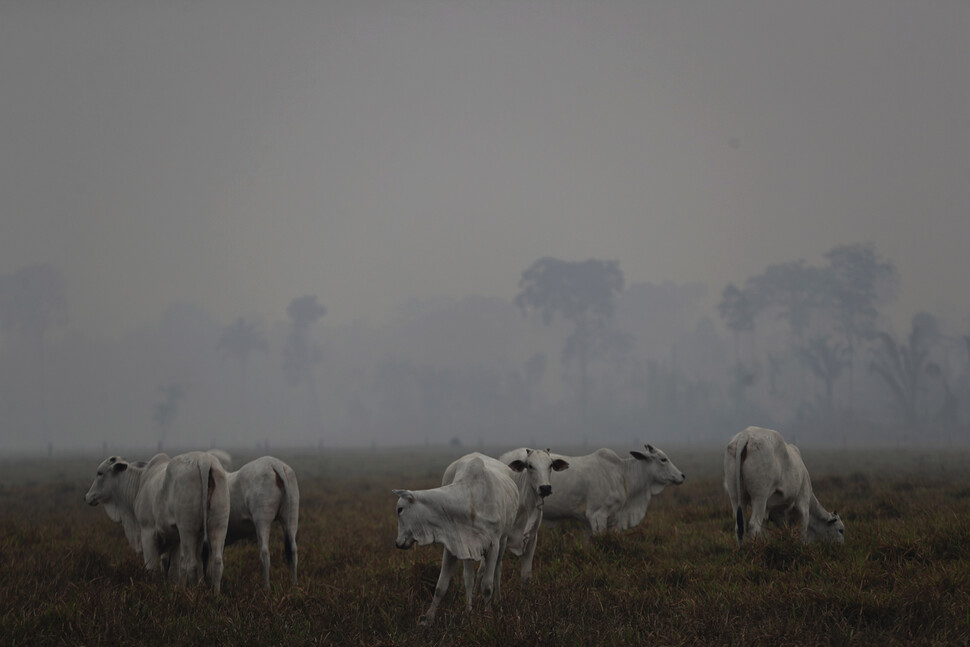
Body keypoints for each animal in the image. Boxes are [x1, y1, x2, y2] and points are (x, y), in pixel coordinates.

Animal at [222, 458, 300, 588]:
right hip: (291, 516)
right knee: (293, 550)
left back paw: (266, 587)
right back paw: (294, 584)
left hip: (262, 521)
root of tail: (275, 464)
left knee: (265, 553)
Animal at [392, 454, 520, 624]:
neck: (470, 500)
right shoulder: (455, 544)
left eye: (400, 509)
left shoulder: (493, 545)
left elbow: (487, 585)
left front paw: (488, 615)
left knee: (497, 570)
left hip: (503, 540)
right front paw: (428, 618)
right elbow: (441, 586)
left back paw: (498, 600)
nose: (398, 543)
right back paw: (469, 609)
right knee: (469, 578)